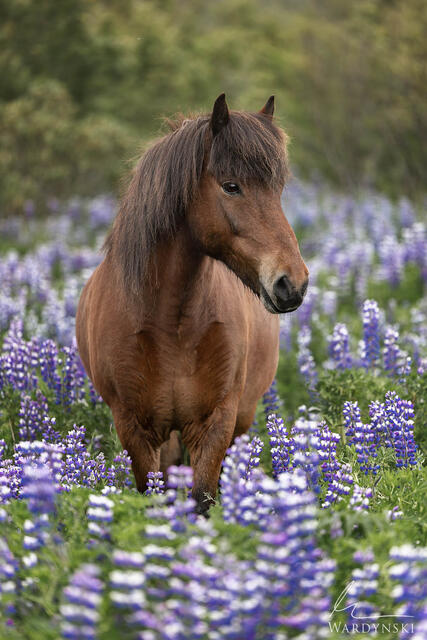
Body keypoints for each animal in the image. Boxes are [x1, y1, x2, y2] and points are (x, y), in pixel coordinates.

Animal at [76, 94, 309, 514]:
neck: (173, 320)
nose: (292, 282)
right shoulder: (135, 427)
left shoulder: (216, 421)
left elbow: (203, 499)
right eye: (231, 186)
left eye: (279, 189)